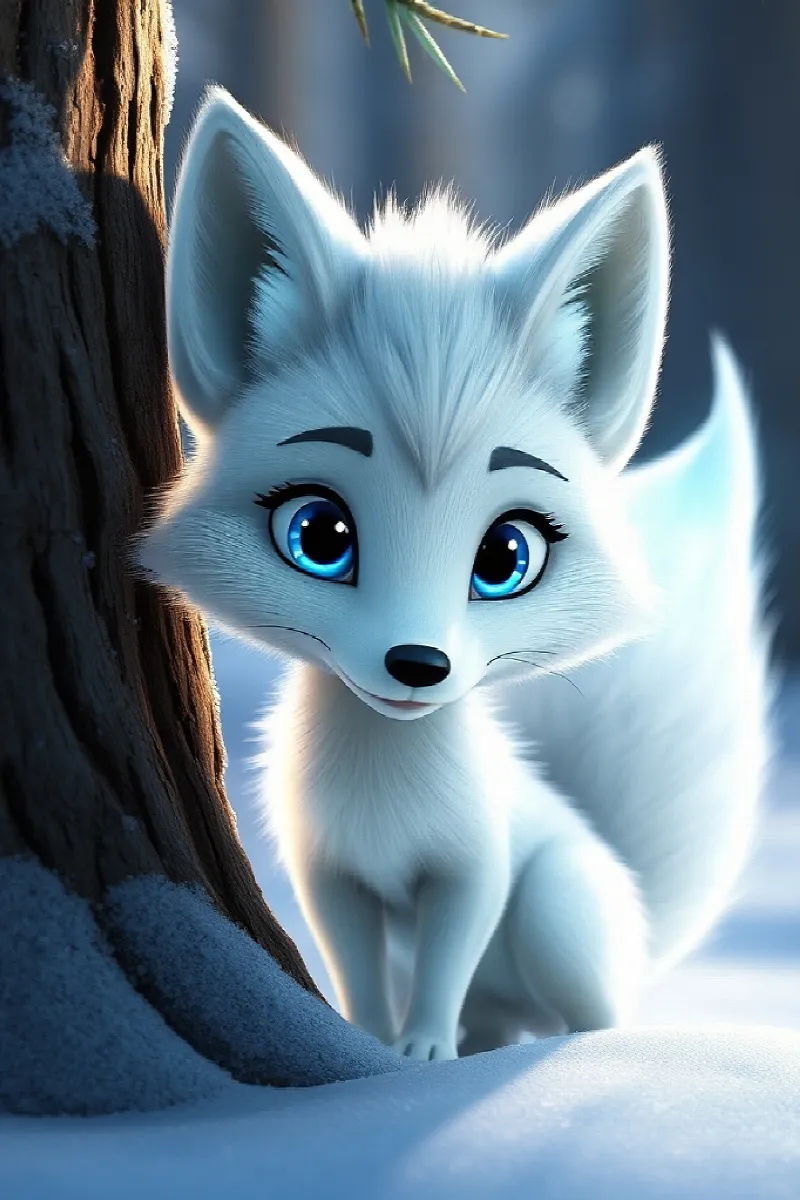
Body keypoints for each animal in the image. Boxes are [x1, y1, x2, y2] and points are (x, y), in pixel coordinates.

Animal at [137, 86, 773, 1062]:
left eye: (506, 558)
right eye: (319, 535)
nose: (418, 665)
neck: (386, 789)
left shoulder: (476, 866)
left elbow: (447, 957)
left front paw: (423, 1057)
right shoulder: (330, 875)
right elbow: (358, 969)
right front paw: (372, 1046)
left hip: (557, 910)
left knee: (596, 1014)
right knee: (504, 1019)